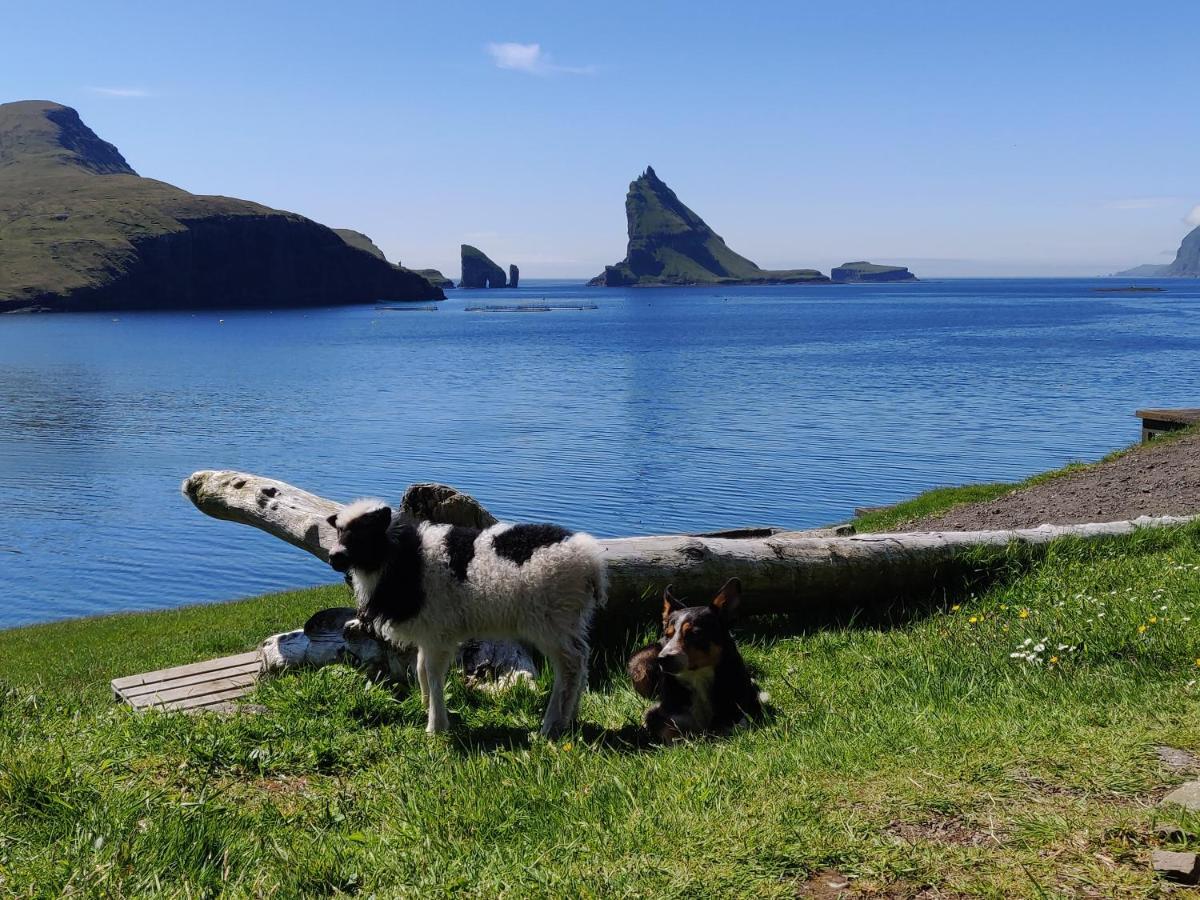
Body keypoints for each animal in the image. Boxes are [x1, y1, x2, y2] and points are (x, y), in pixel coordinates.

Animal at [326, 501, 604, 739]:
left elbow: (433, 674)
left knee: (570, 667)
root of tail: (591, 560)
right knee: (581, 661)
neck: (405, 556)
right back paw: (571, 718)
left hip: (552, 621)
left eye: (365, 531)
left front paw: (436, 726)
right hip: (572, 619)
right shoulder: (428, 631)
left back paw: (552, 725)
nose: (334, 556)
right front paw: (424, 705)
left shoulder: (438, 632)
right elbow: (421, 668)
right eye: (338, 530)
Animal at [624, 580, 763, 744]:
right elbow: (668, 730)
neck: (698, 677)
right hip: (641, 666)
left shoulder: (744, 710)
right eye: (668, 635)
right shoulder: (661, 714)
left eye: (694, 634)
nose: (662, 659)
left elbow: (728, 726)